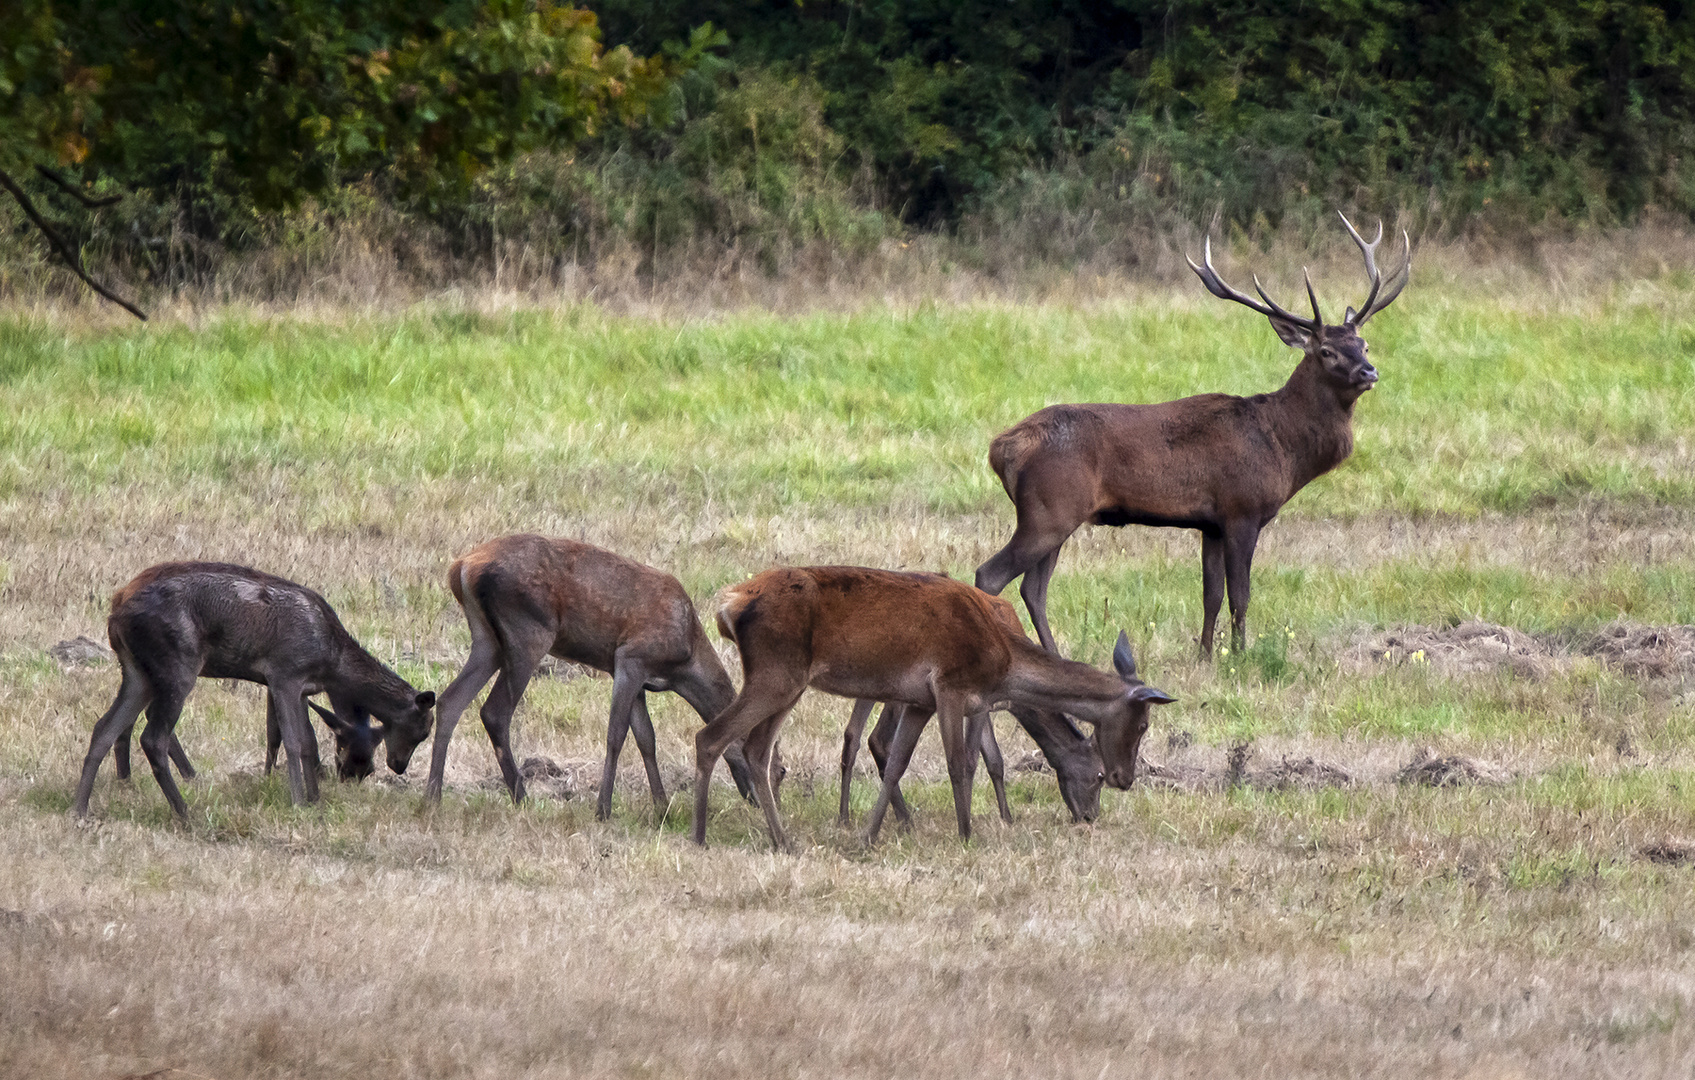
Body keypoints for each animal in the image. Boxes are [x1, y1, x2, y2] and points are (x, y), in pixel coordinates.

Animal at [76, 562, 440, 817]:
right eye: (422, 731)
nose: (398, 766)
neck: (331, 660)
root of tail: (115, 613)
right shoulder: (284, 674)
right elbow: (293, 742)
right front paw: (298, 801)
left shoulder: (301, 687)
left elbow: (308, 742)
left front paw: (315, 800)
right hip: (177, 663)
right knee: (152, 737)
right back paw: (185, 812)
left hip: (137, 672)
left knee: (104, 727)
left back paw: (80, 808)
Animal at [423, 535, 762, 813]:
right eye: (768, 762)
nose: (760, 801)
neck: (685, 660)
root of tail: (462, 567)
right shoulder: (630, 657)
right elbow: (616, 734)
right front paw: (603, 809)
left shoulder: (634, 675)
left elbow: (646, 738)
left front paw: (661, 806)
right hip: (528, 630)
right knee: (494, 712)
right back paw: (522, 798)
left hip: (487, 639)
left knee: (450, 700)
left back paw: (433, 795)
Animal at [694, 562, 1172, 851]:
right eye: (1144, 724)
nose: (1124, 778)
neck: (1003, 657)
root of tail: (730, 603)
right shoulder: (951, 686)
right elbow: (960, 763)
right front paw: (967, 834)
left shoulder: (919, 700)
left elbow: (895, 764)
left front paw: (868, 836)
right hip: (778, 673)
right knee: (710, 736)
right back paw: (701, 836)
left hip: (788, 682)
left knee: (756, 749)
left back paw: (783, 840)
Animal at [976, 208, 1410, 647]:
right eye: (1326, 351)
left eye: (1365, 345)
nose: (1369, 371)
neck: (1282, 447)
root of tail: (1000, 449)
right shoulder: (1242, 509)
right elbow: (1240, 596)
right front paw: (1240, 653)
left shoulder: (1210, 524)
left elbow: (1211, 595)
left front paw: (1206, 654)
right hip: (1049, 509)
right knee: (991, 575)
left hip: (1055, 514)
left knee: (1034, 589)